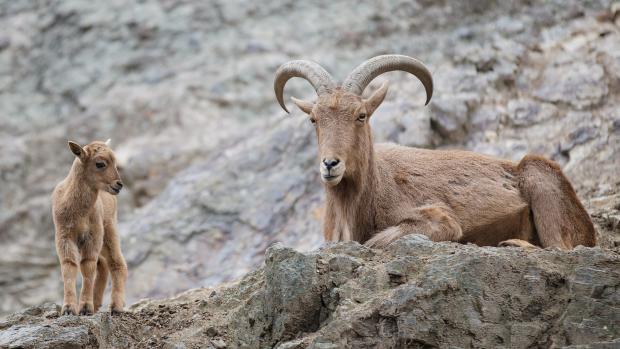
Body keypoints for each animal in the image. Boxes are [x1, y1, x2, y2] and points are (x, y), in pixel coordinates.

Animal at [54, 139, 129, 316]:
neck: (79, 214)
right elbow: (69, 266)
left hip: (109, 231)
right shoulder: (64, 237)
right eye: (100, 163)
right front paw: (69, 308)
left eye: (115, 162)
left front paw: (85, 307)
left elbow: (87, 266)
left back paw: (115, 306)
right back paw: (97, 303)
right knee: (103, 265)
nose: (119, 185)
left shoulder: (92, 236)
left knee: (117, 263)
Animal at [274, 54, 596, 249]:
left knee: (561, 248)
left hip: (540, 180)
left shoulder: (437, 220)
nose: (330, 164)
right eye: (313, 118)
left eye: (361, 115)